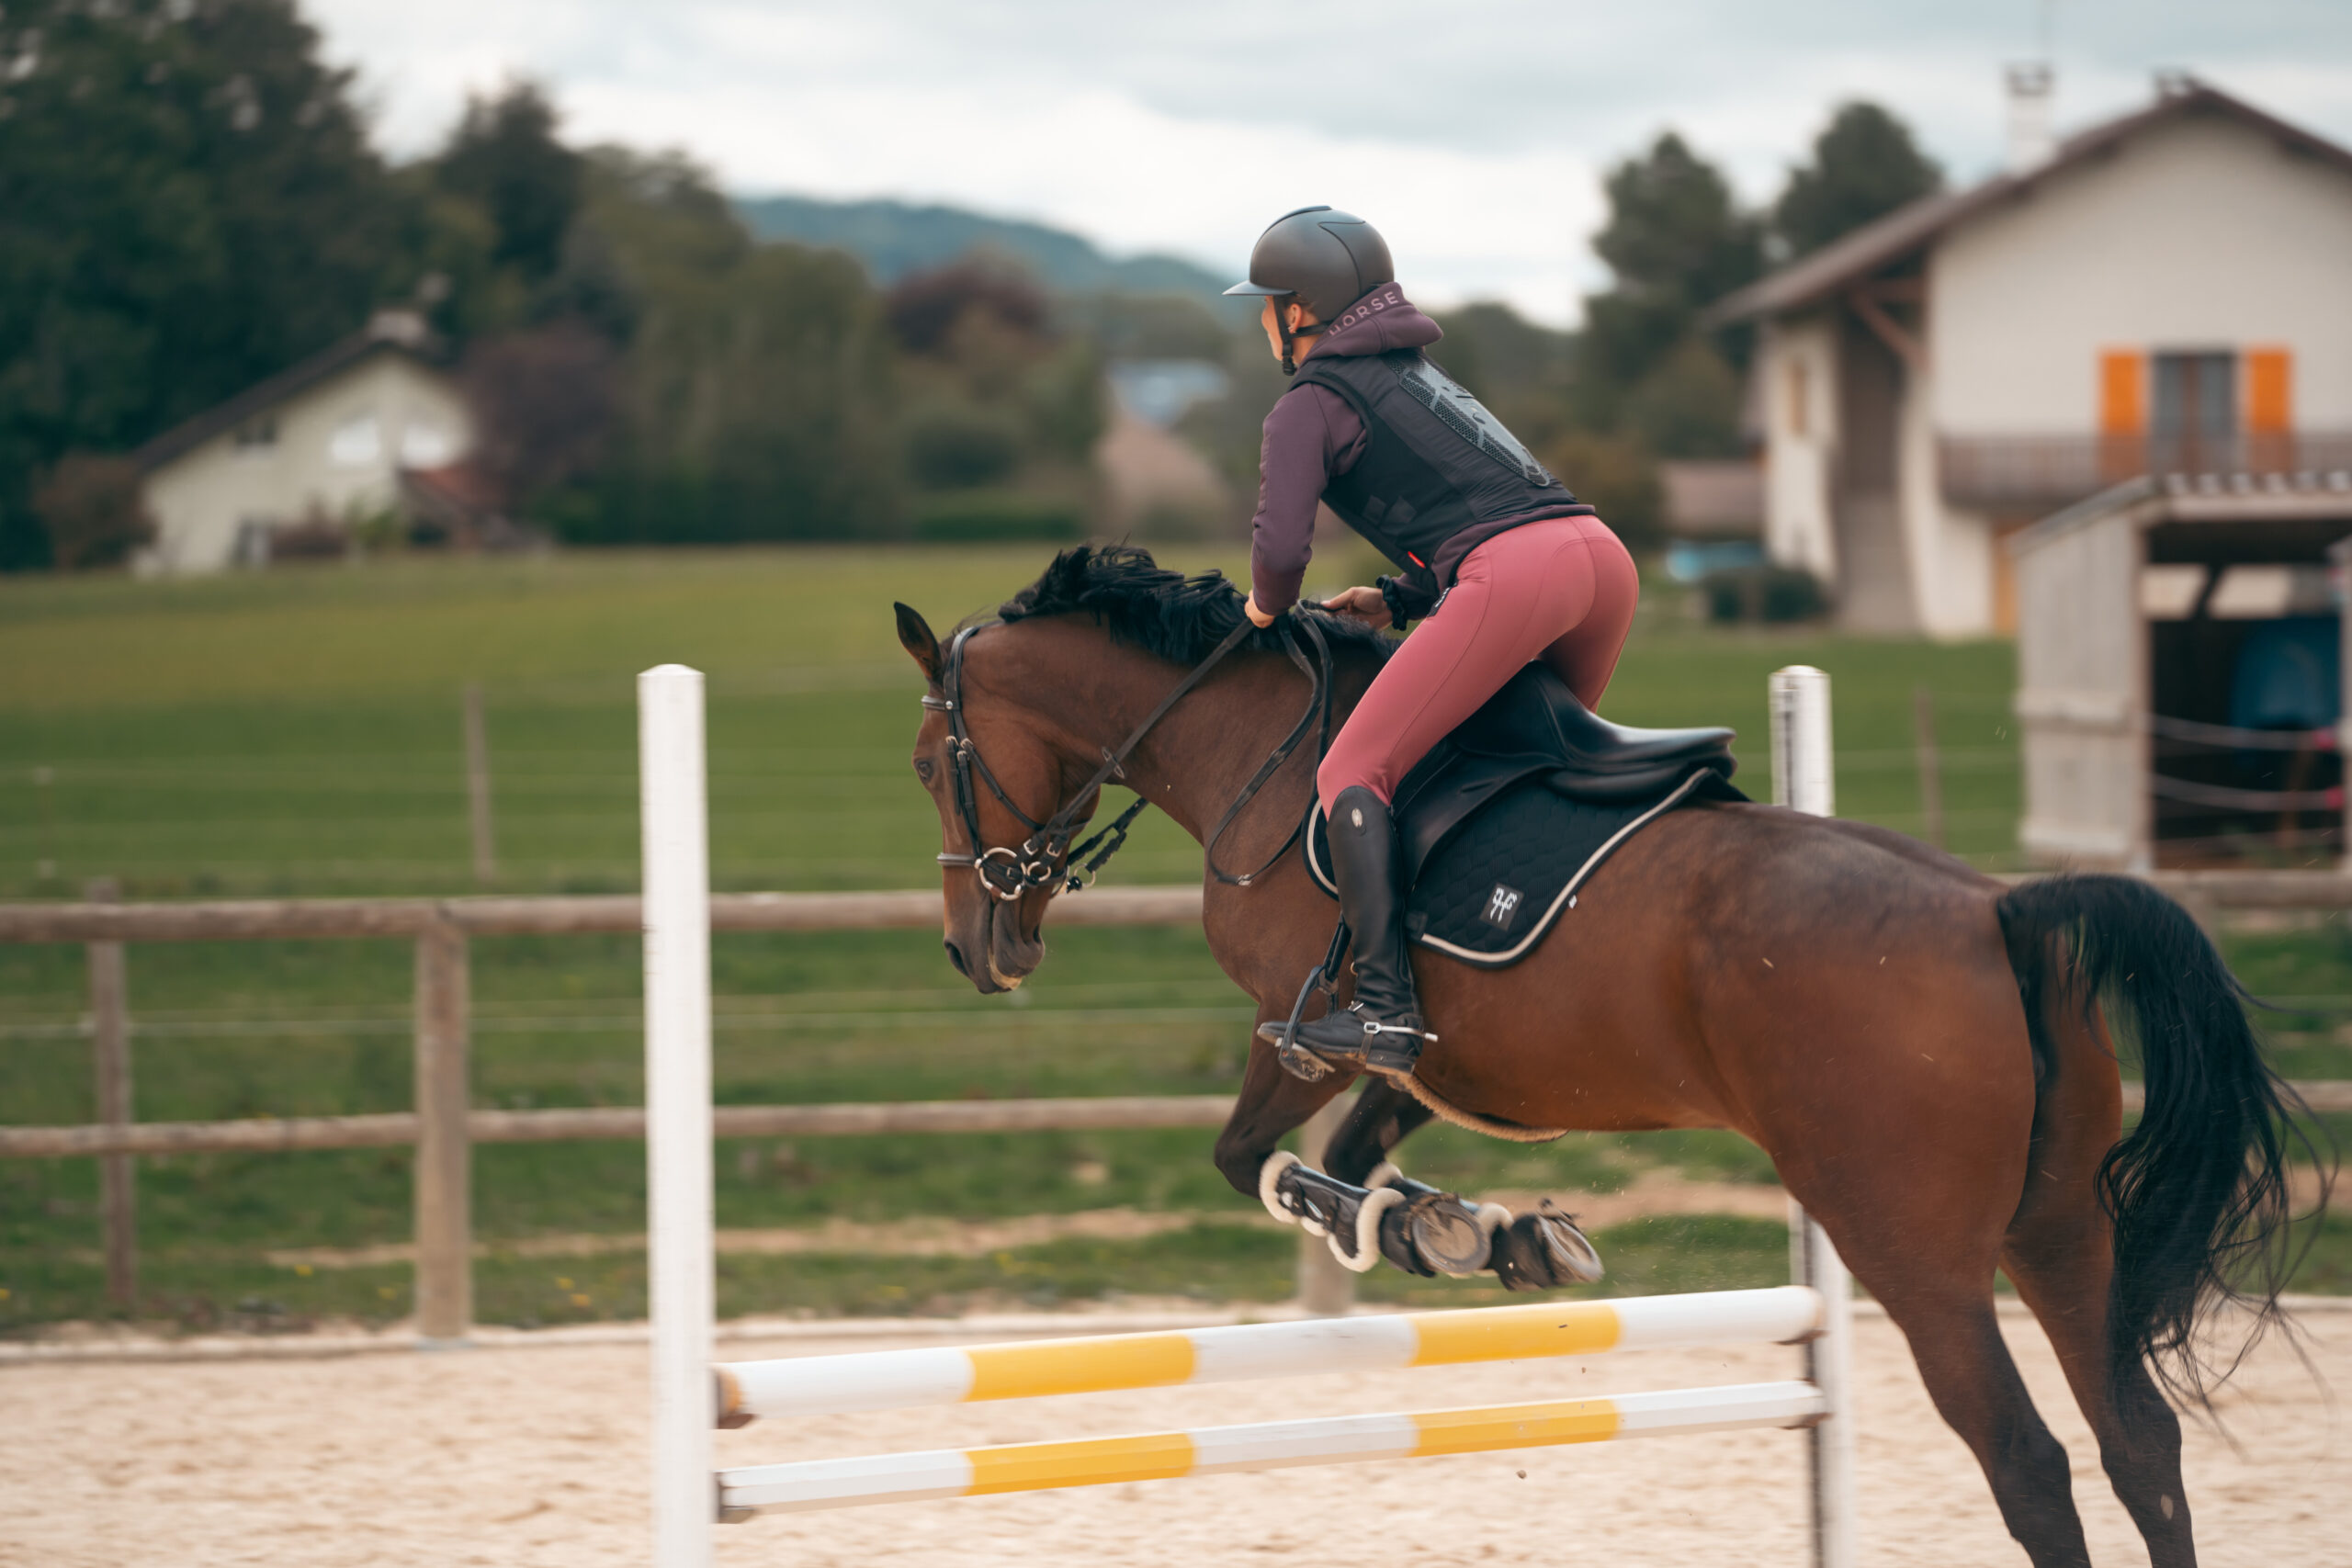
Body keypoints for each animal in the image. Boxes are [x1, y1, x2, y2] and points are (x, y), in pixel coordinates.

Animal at [888, 543, 2324, 1568]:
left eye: (920, 763)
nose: (975, 948)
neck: (1257, 752)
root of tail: (1997, 910)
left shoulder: (1304, 1031)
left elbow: (1253, 1157)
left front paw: (1393, 1222)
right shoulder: (1434, 1062)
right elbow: (1372, 1150)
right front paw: (1474, 1235)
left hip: (1909, 1243)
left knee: (2028, 1458)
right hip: (2059, 1222)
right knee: (2137, 1439)